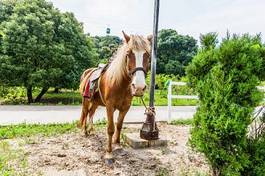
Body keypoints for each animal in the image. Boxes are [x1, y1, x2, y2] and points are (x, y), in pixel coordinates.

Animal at [78, 31, 151, 162]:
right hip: (86, 100)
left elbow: (119, 125)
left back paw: (91, 130)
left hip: (95, 102)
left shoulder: (125, 107)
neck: (120, 84)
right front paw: (109, 153)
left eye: (147, 55)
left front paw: (117, 145)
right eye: (128, 53)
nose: (138, 87)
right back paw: (85, 131)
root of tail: (87, 72)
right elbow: (110, 128)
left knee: (91, 113)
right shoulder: (109, 106)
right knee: (85, 113)